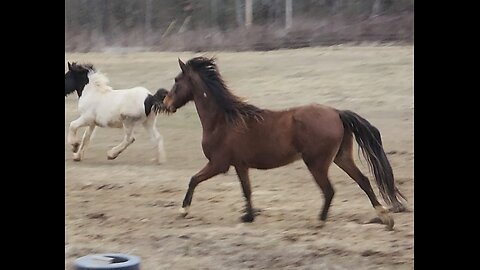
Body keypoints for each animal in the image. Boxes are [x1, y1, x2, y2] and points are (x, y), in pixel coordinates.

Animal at [163, 57, 406, 230]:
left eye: (176, 81)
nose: (166, 103)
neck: (223, 120)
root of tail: (337, 113)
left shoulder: (218, 164)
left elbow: (193, 179)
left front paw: (184, 210)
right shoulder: (240, 165)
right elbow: (247, 190)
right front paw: (248, 216)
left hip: (317, 163)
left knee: (329, 191)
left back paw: (319, 221)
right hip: (341, 157)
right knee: (363, 181)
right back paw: (385, 218)